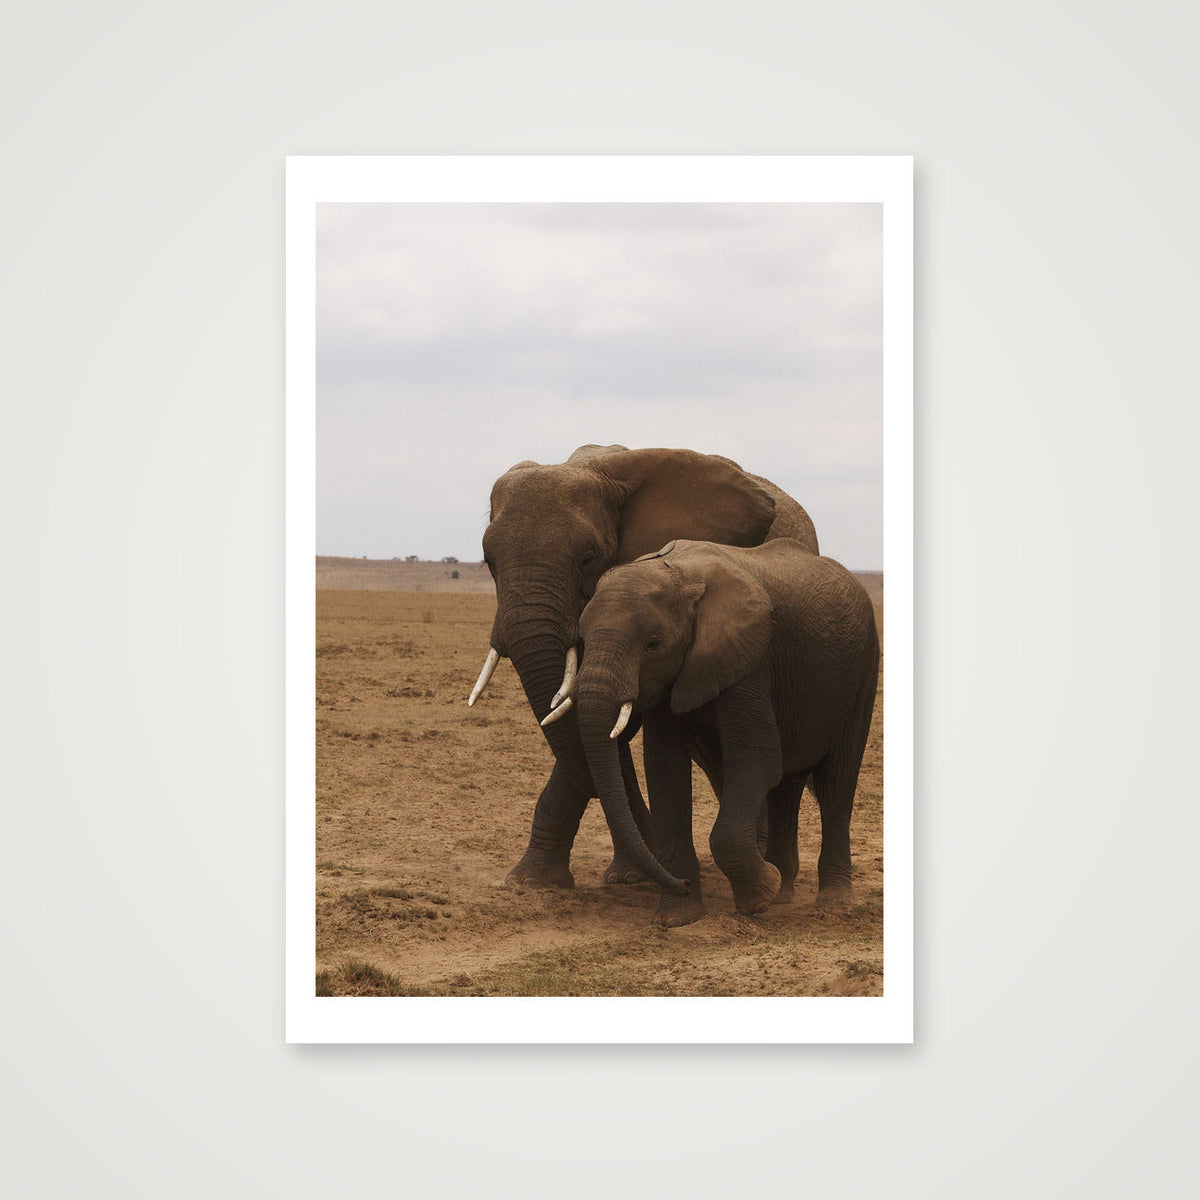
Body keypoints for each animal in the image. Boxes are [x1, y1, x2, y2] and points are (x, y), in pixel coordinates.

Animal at [547, 537, 879, 926]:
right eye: (582, 638)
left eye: (653, 644)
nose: (684, 884)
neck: (680, 578)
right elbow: (665, 771)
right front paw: (676, 918)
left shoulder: (749, 663)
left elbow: (757, 762)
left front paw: (758, 899)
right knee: (786, 788)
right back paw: (783, 893)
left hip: (863, 668)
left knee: (835, 785)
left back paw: (832, 902)